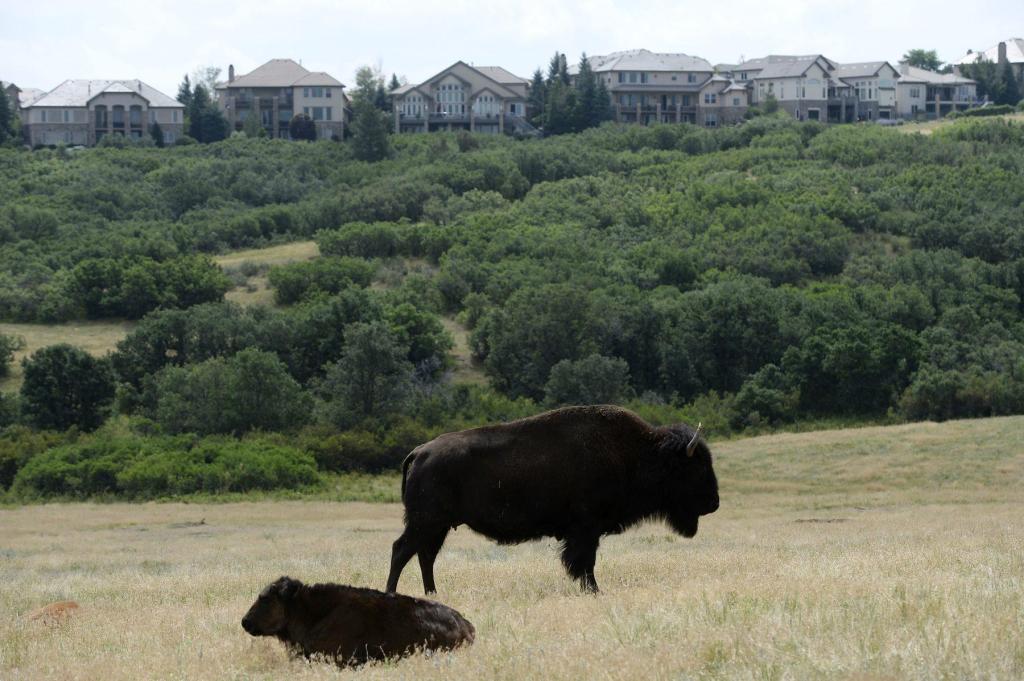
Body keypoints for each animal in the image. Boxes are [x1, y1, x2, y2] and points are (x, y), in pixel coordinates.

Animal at [385, 405, 719, 594]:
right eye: (697, 468)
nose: (714, 502)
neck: (637, 453)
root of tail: (420, 452)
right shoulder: (585, 530)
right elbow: (584, 562)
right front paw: (594, 590)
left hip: (437, 526)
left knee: (424, 556)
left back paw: (432, 594)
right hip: (426, 523)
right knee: (402, 551)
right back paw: (392, 594)